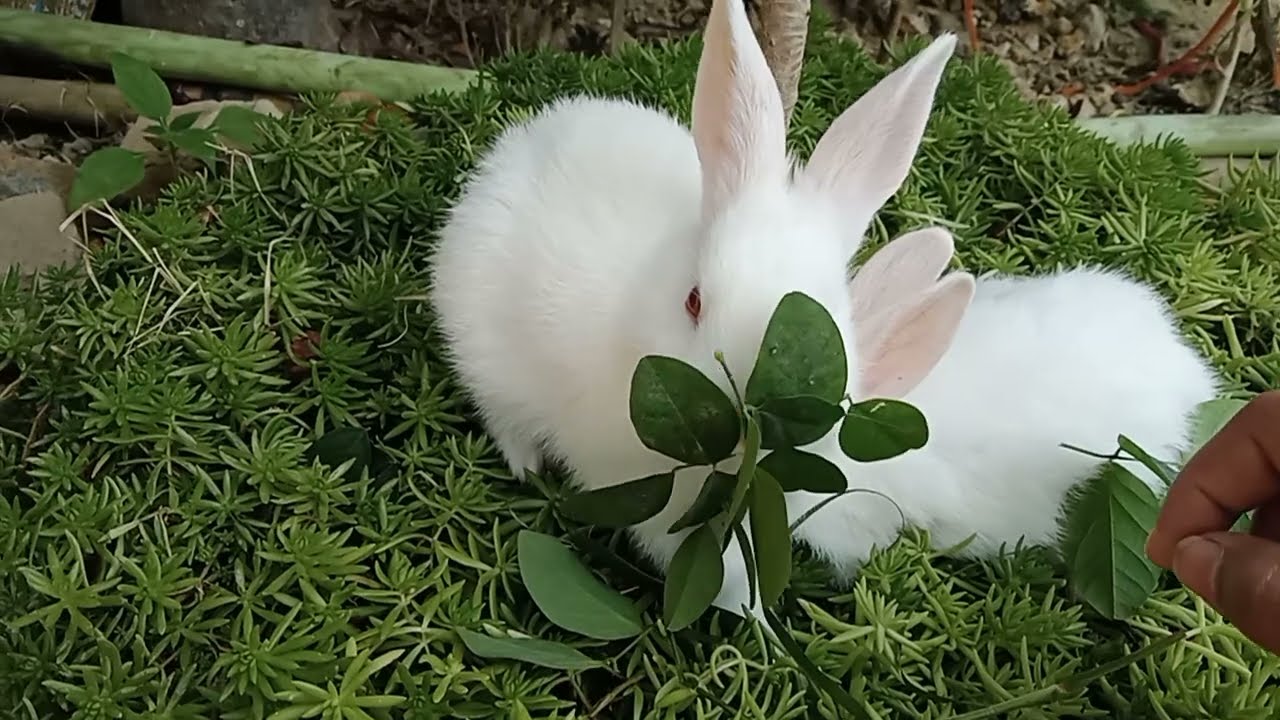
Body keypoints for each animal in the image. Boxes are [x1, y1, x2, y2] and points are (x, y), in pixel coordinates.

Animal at [428, 0, 970, 615]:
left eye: (837, 331)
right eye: (694, 301)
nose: (738, 416)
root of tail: (518, 144)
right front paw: (754, 616)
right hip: (480, 341)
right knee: (500, 411)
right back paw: (526, 463)